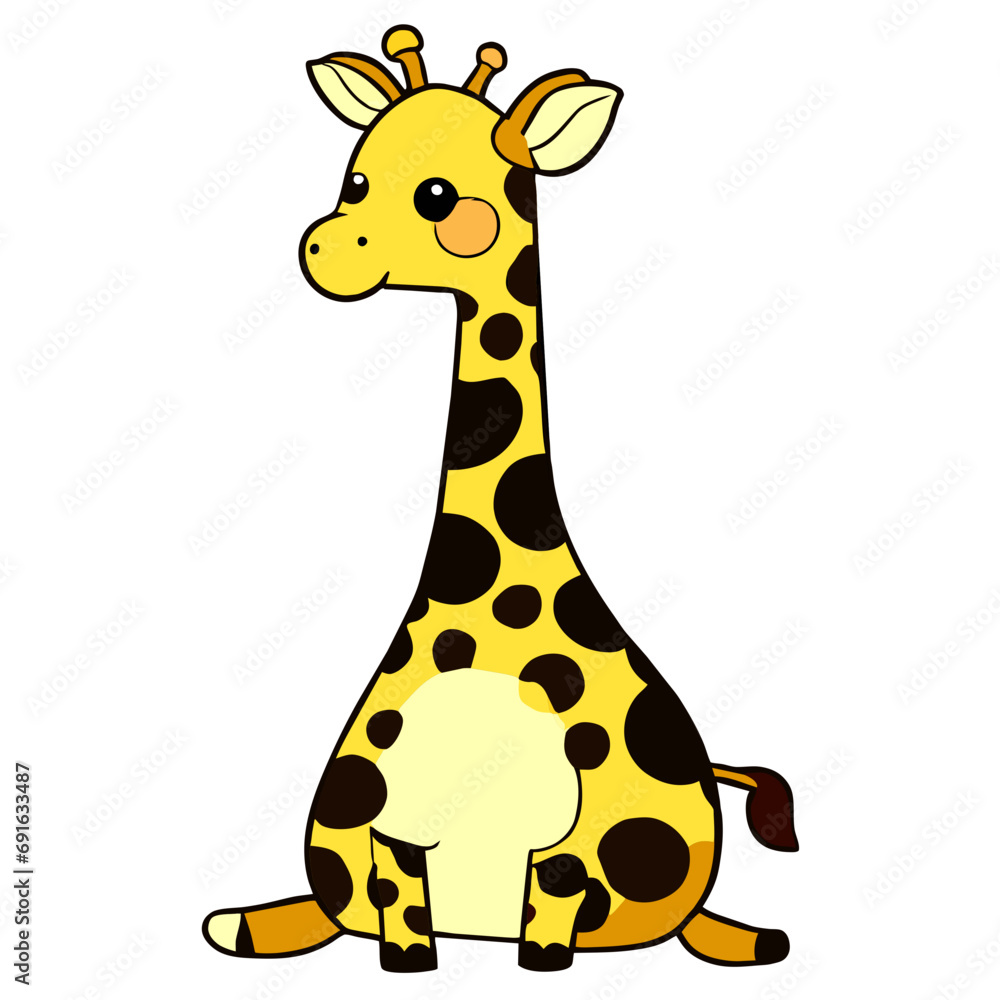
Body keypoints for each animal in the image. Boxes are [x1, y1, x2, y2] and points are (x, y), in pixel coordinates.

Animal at [202, 25, 799, 974]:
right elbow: (397, 901)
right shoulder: (383, 829)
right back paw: (247, 923)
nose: (325, 250)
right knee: (324, 907)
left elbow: (552, 902)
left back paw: (747, 938)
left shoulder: (570, 846)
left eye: (437, 194)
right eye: (356, 179)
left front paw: (541, 965)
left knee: (695, 924)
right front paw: (408, 966)